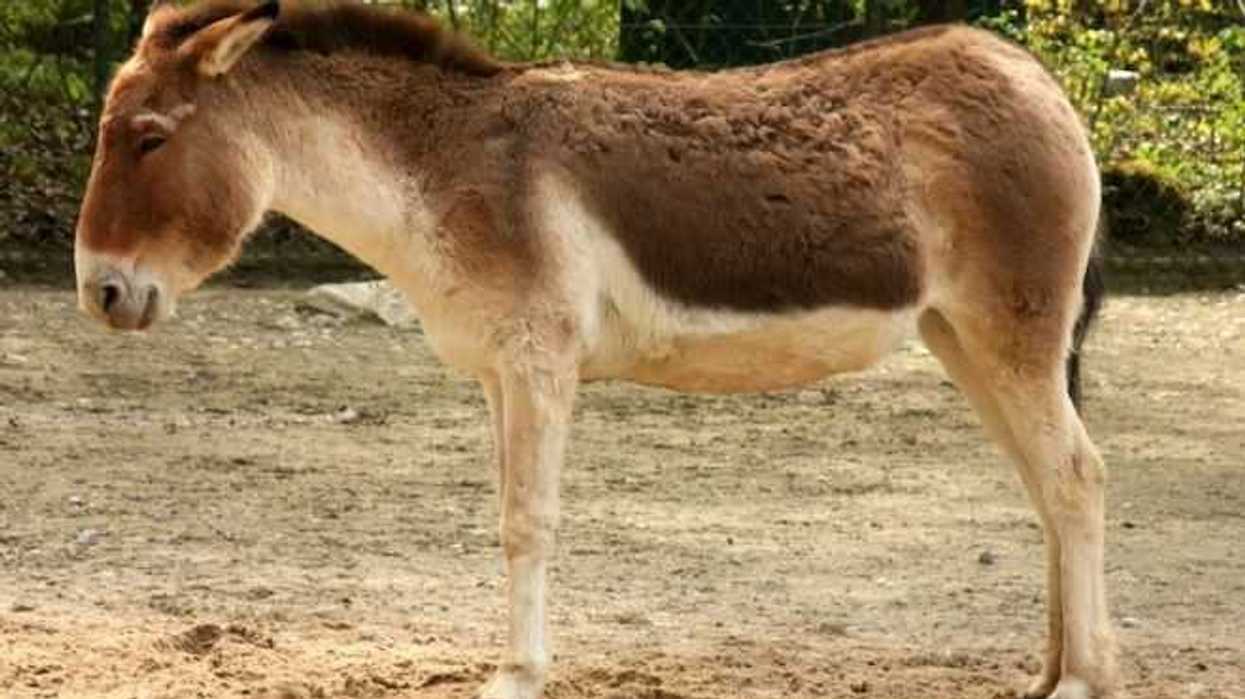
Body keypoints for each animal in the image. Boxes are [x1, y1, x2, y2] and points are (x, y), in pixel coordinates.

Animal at [73, 2, 1115, 697]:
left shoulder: (539, 362)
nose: (100, 292)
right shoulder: (498, 372)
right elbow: (506, 516)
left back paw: (1081, 678)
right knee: (1044, 484)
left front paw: (516, 675)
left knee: (1074, 477)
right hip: (962, 338)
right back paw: (1047, 669)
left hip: (1009, 331)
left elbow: (526, 521)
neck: (441, 168)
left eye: (149, 137)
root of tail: (1035, 78)